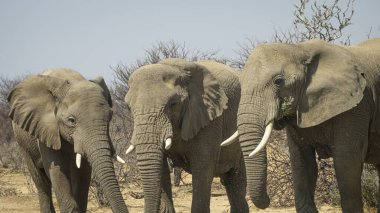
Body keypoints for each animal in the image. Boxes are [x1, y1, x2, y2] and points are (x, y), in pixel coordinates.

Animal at [7, 69, 128, 212]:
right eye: (71, 120)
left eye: (110, 116)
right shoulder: (47, 129)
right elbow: (57, 171)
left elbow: (83, 173)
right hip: (23, 143)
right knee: (42, 183)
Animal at [123, 57, 254, 212]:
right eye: (128, 107)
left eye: (173, 104)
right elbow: (161, 168)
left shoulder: (210, 120)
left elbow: (203, 169)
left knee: (235, 183)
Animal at [221, 38, 380, 213]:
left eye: (278, 81)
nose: (268, 200)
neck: (299, 49)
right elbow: (302, 163)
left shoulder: (357, 106)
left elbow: (347, 162)